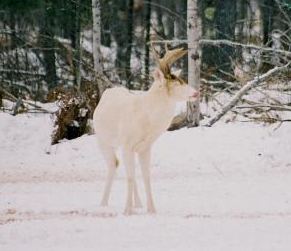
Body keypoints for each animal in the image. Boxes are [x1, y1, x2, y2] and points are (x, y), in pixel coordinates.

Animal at [94, 46, 200, 215]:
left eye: (183, 80)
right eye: (176, 84)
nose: (196, 93)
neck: (147, 121)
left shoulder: (145, 147)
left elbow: (145, 176)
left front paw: (151, 209)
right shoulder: (126, 144)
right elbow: (131, 177)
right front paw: (127, 210)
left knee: (126, 168)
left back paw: (138, 203)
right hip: (103, 140)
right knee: (114, 165)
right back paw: (103, 203)